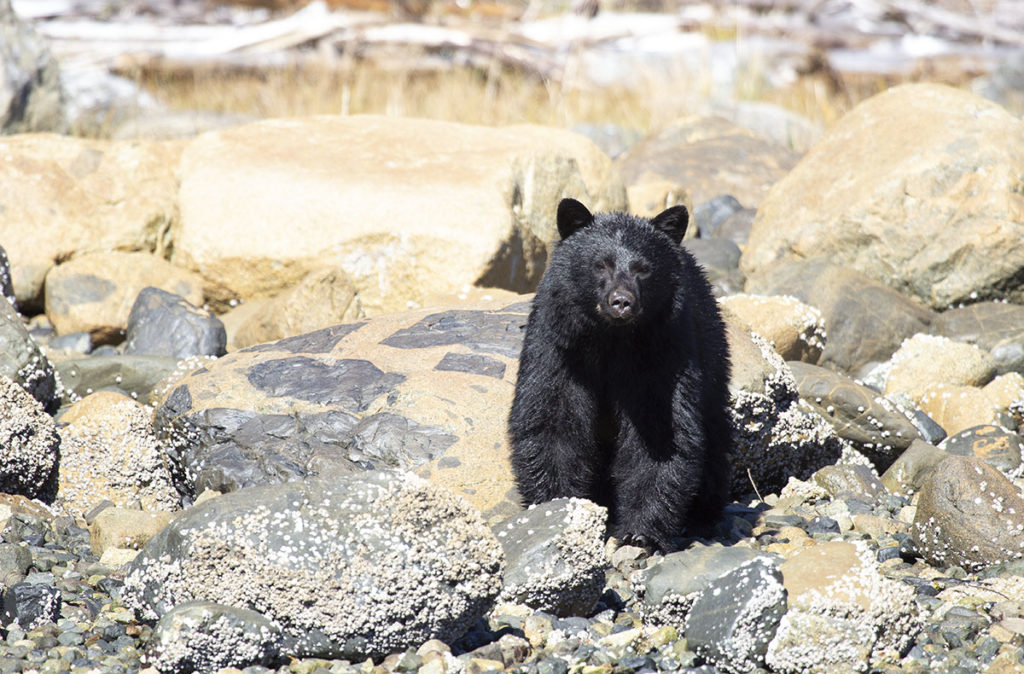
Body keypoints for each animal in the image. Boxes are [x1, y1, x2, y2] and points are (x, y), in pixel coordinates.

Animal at [507, 196, 733, 549]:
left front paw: (640, 532)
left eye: (643, 269)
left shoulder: (662, 355)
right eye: (601, 264)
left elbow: (659, 433)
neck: (610, 340)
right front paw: (556, 509)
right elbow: (552, 420)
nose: (622, 302)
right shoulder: (559, 349)